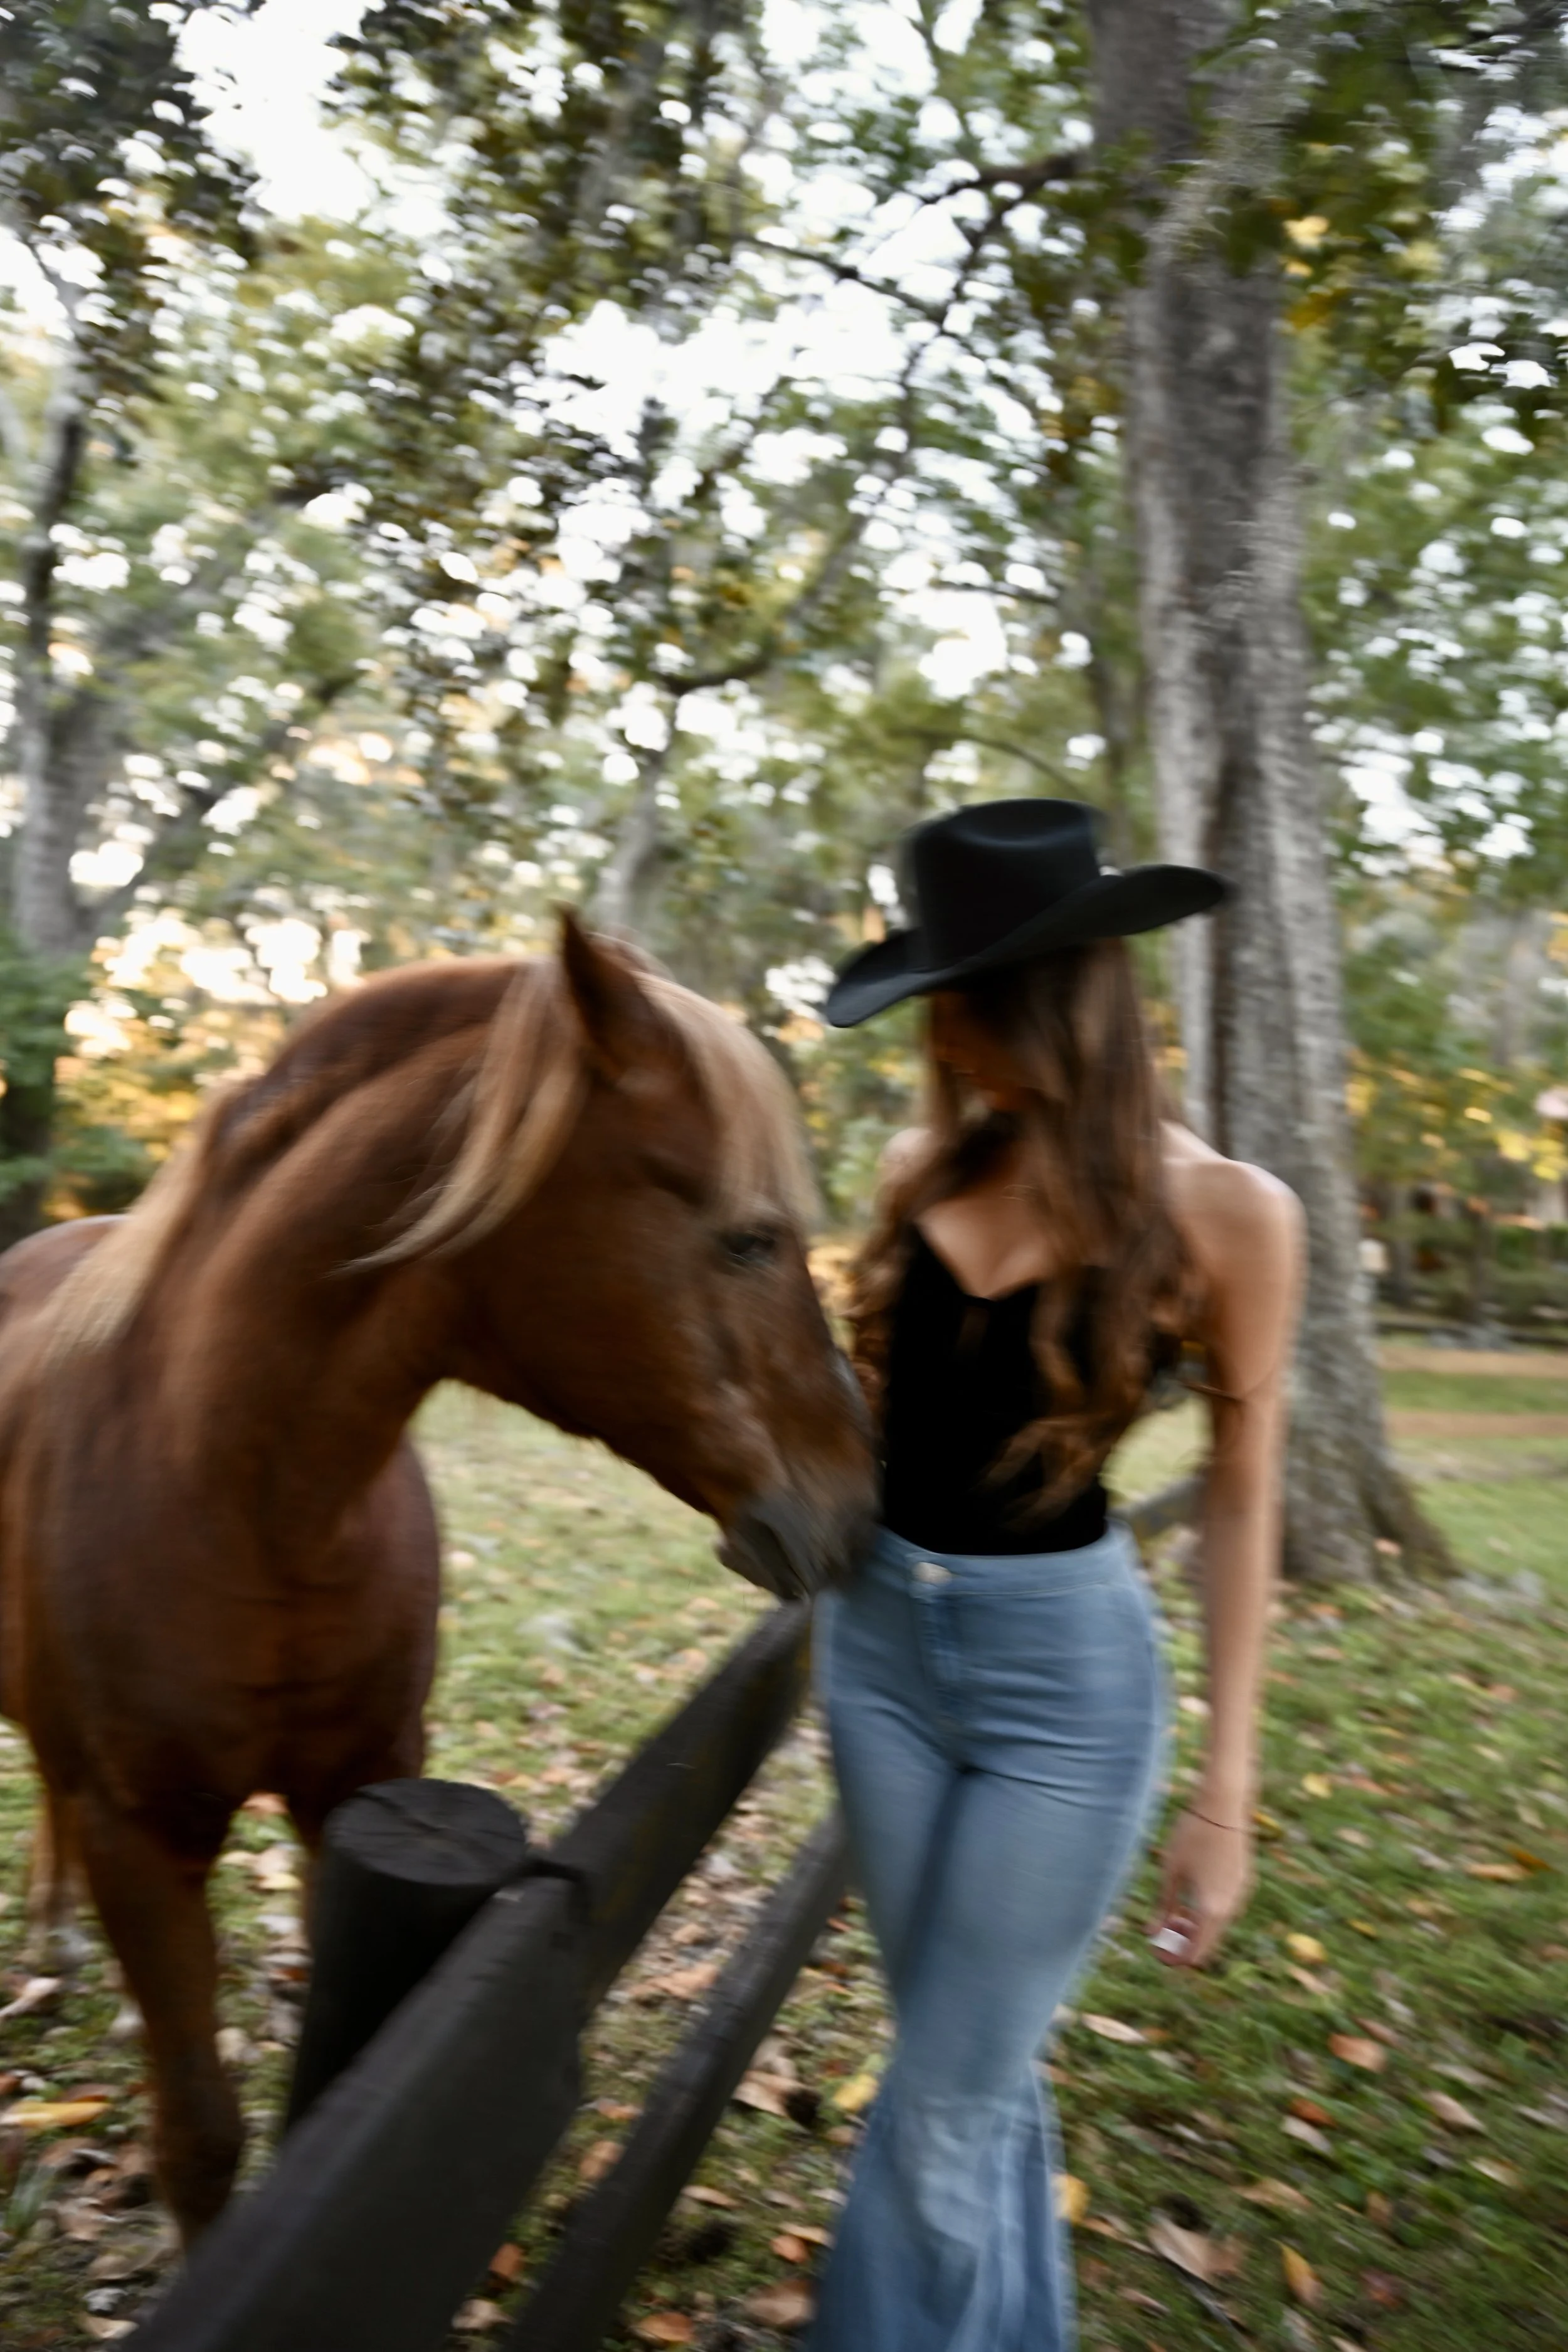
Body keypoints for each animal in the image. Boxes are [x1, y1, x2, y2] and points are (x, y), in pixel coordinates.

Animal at [0, 914, 876, 2242]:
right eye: (748, 1237)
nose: (860, 1498)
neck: (242, 1502)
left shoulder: (360, 1794)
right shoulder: (142, 1840)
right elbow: (199, 2138)